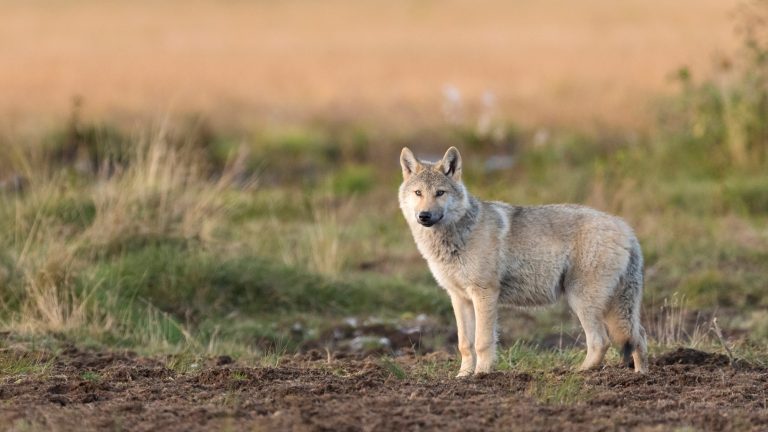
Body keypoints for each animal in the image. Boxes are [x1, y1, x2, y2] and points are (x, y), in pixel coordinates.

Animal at [399, 146, 648, 377]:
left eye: (440, 193)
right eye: (418, 192)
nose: (424, 216)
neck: (456, 237)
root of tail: (626, 229)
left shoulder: (484, 294)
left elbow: (482, 342)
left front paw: (481, 374)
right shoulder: (460, 298)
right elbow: (464, 344)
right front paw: (463, 376)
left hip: (583, 301)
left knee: (600, 341)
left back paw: (578, 372)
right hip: (611, 307)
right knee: (639, 337)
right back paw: (640, 376)